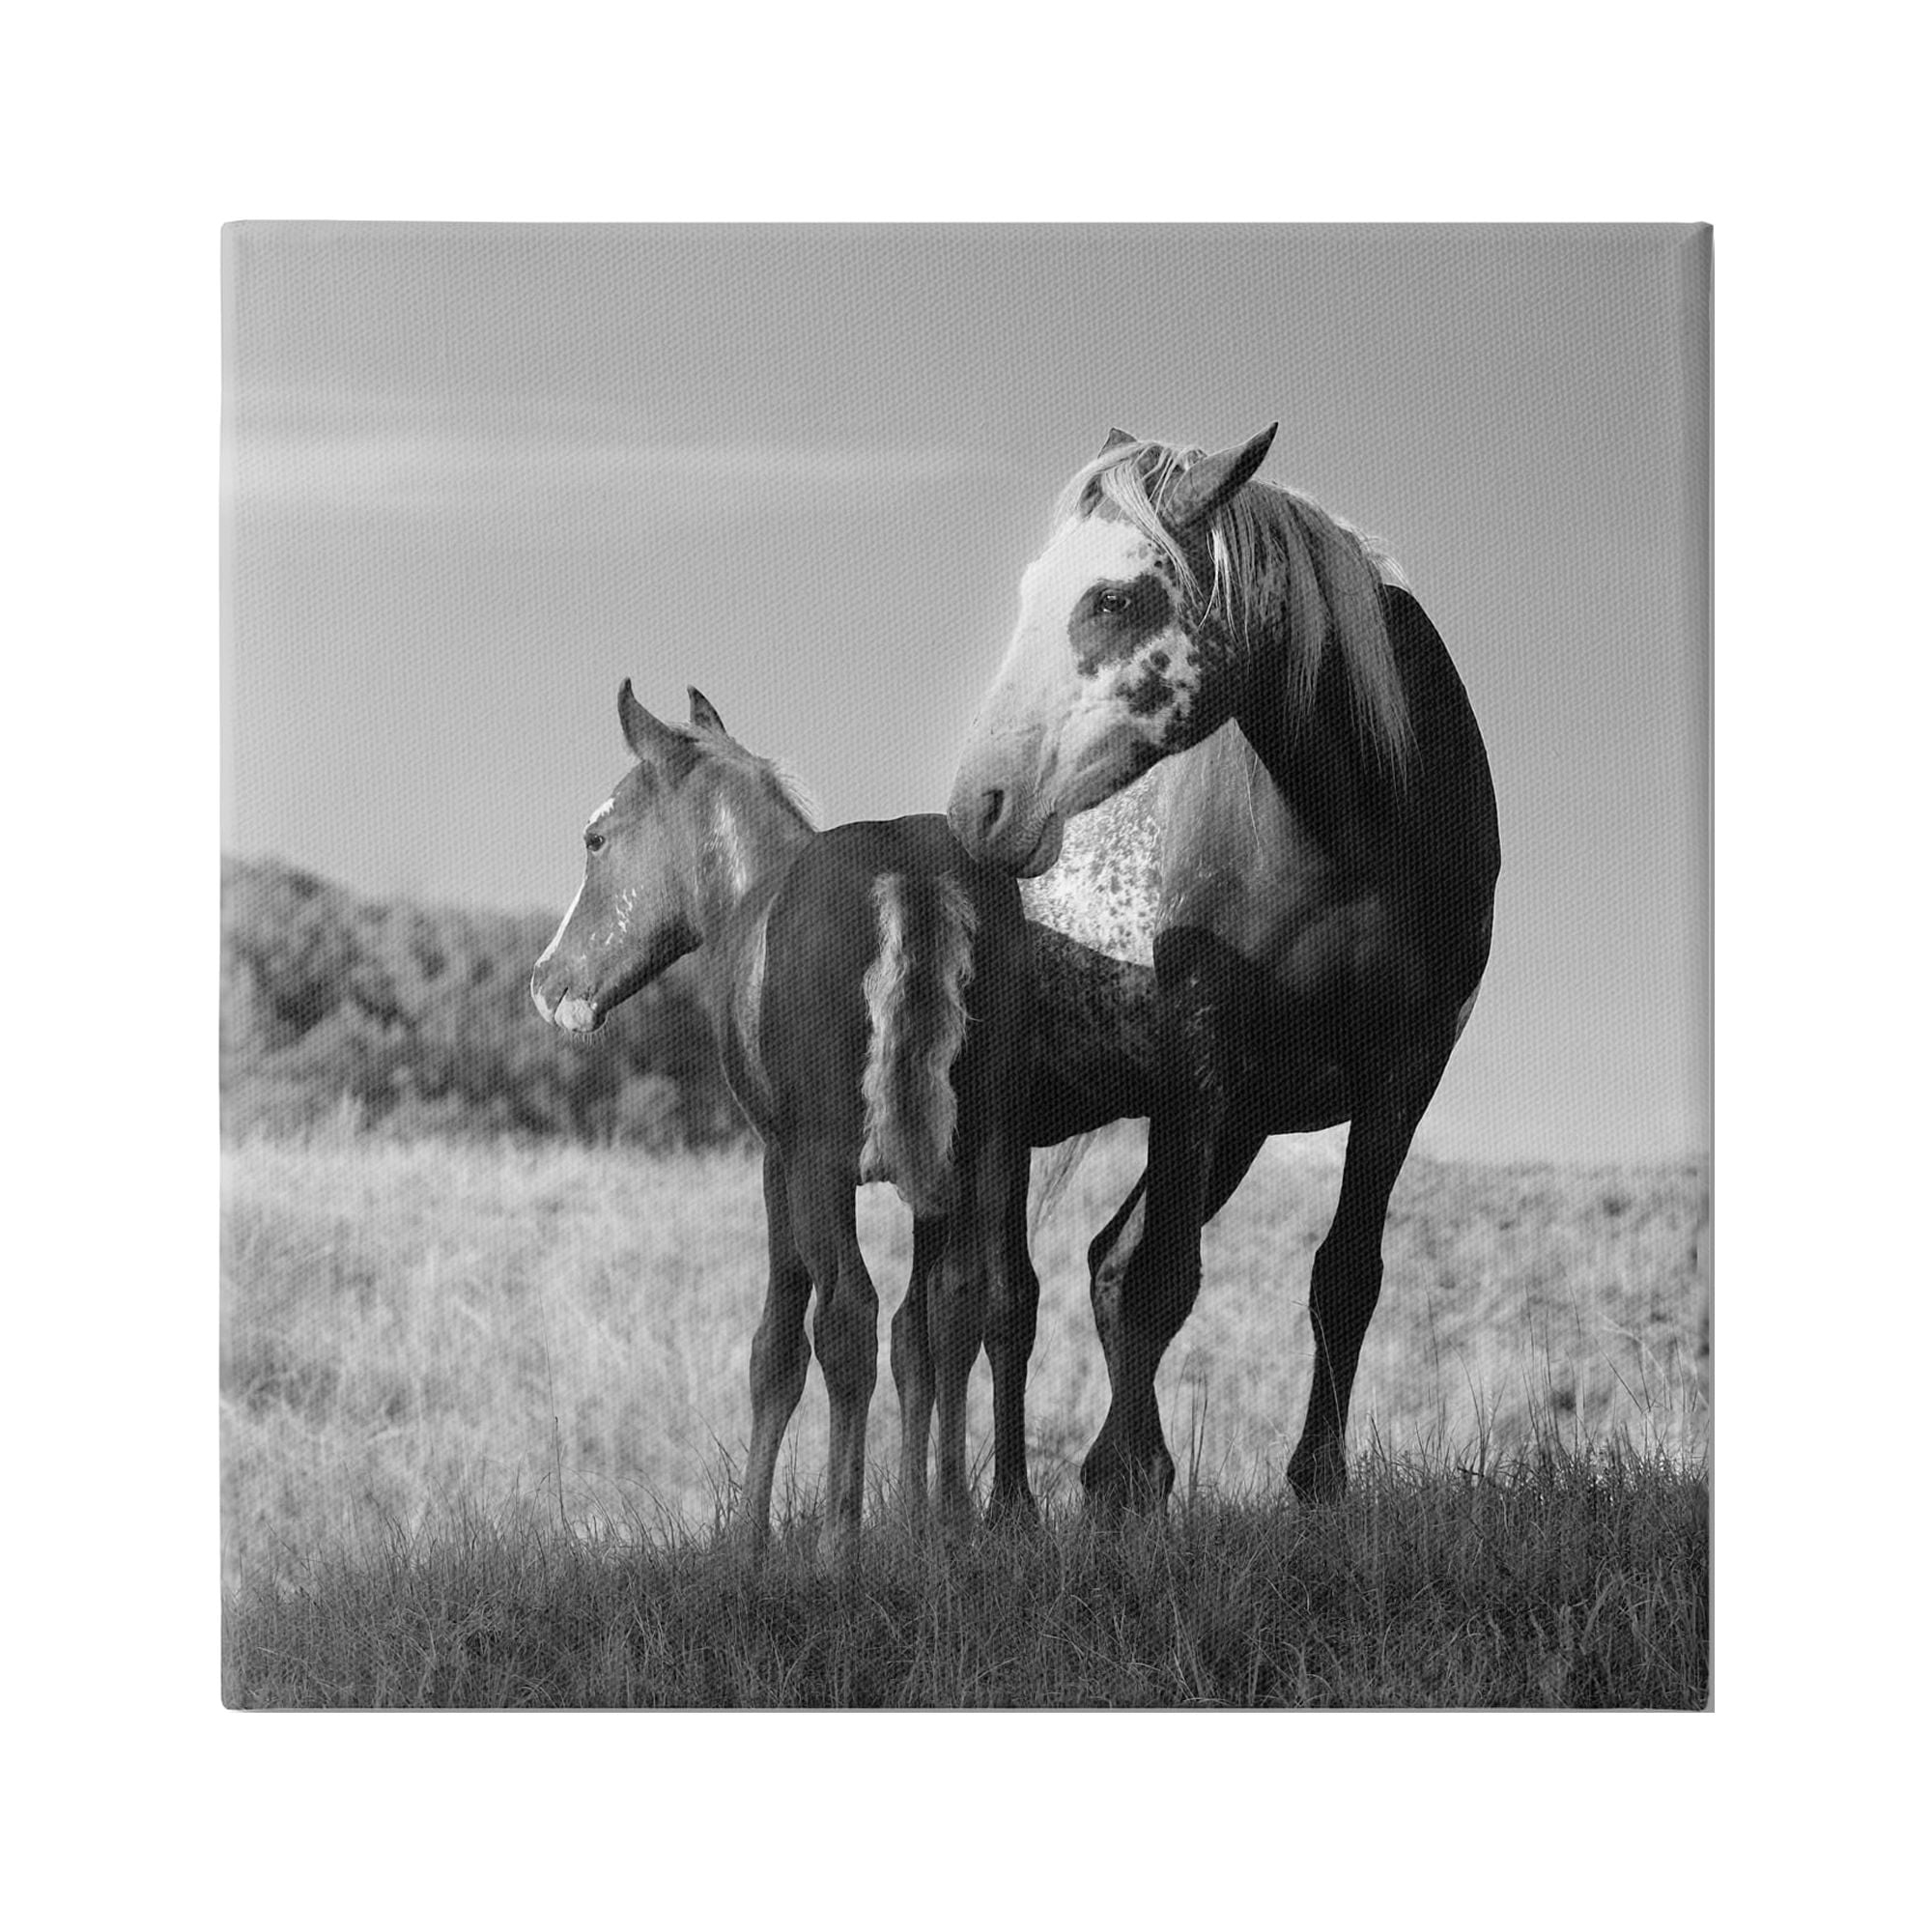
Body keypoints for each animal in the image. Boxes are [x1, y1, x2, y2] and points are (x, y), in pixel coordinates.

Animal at [531, 682, 1038, 1568]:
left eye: (597, 838)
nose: (547, 981)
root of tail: (910, 878)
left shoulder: (776, 1162)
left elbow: (779, 1343)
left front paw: (751, 1539)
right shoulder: (934, 1175)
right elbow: (926, 1327)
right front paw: (921, 1522)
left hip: (823, 1167)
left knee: (846, 1316)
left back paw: (839, 1536)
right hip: (987, 1147)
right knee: (980, 1301)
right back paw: (982, 1513)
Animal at [948, 425, 1500, 1511]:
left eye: (1113, 599)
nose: (980, 804)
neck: (1358, 837)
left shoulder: (1404, 1069)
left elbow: (1344, 1274)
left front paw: (1312, 1482)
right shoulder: (1196, 1053)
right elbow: (1164, 1279)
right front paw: (1121, 1481)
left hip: (1234, 1125)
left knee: (1096, 1267)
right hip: (1016, 1123)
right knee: (1004, 1301)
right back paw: (1007, 1508)